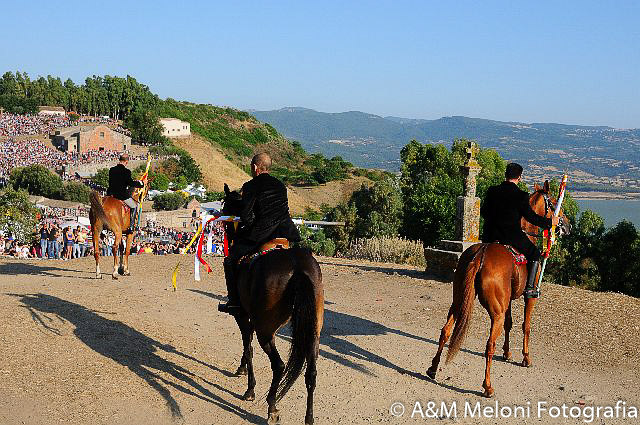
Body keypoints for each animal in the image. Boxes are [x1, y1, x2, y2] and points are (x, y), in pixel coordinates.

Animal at [222, 185, 324, 424]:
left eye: (225, 208)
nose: (226, 230)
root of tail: (297, 267)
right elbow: (247, 346)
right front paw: (241, 369)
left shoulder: (243, 316)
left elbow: (248, 346)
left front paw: (249, 388)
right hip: (313, 332)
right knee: (311, 373)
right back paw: (309, 417)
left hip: (266, 330)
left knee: (278, 366)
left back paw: (272, 406)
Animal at [428, 180, 572, 398]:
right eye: (554, 203)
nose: (567, 224)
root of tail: (480, 254)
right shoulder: (529, 298)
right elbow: (526, 326)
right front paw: (525, 358)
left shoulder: (508, 300)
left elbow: (509, 324)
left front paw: (507, 352)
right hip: (496, 312)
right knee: (489, 344)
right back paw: (487, 386)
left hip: (459, 300)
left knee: (445, 331)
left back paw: (433, 368)